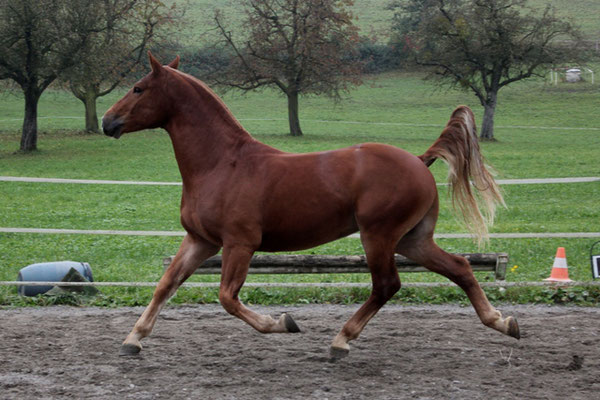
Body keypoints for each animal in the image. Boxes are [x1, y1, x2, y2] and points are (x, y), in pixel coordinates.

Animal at [101, 52, 516, 356]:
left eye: (138, 88)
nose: (107, 122)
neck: (221, 164)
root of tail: (418, 159)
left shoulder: (240, 244)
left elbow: (227, 298)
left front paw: (283, 322)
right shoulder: (200, 241)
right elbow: (165, 285)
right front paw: (133, 339)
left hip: (378, 235)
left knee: (386, 284)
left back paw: (341, 341)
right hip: (413, 239)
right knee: (460, 267)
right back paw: (503, 322)